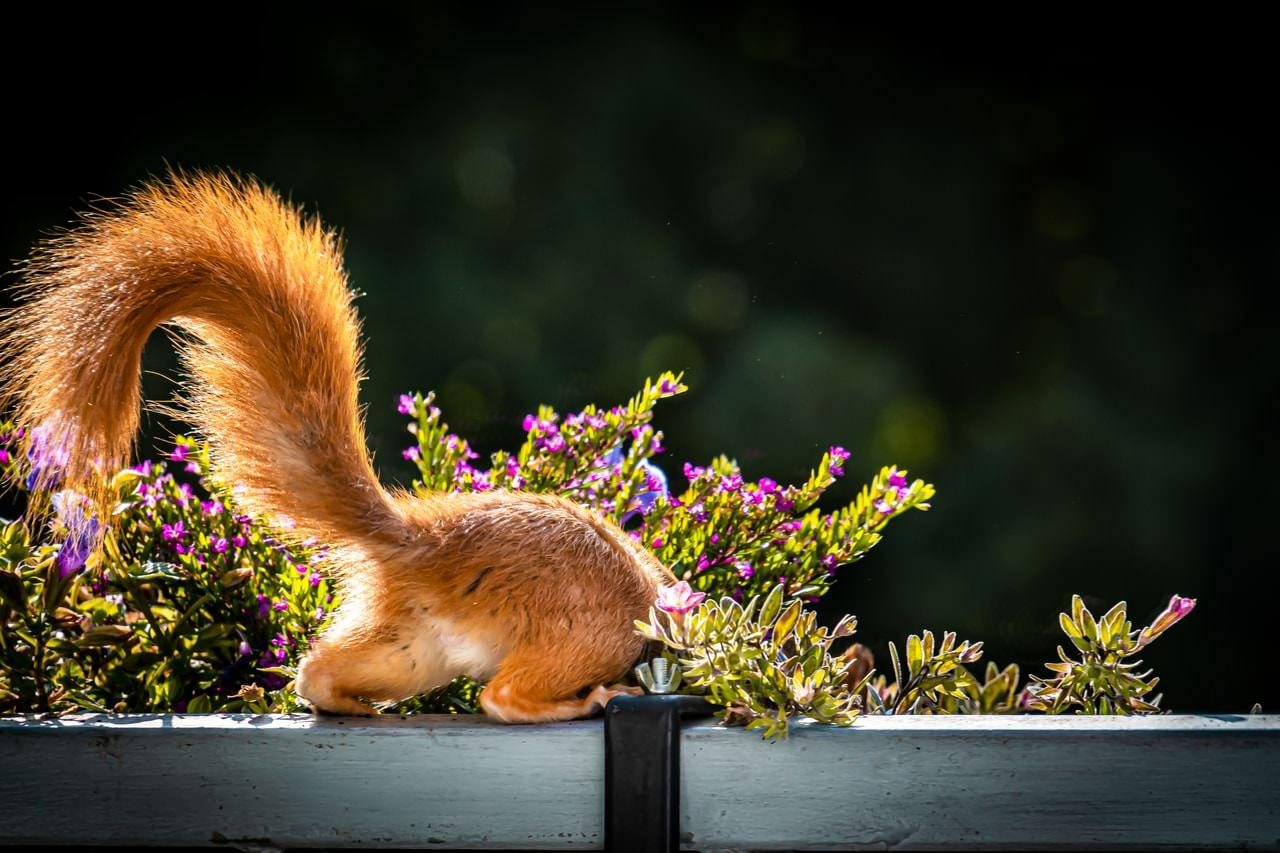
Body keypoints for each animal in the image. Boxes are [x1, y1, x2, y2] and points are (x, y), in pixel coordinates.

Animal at [0, 172, 668, 721]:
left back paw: (346, 701)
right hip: (587, 635)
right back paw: (585, 700)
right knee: (504, 699)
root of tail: (424, 544)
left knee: (320, 672)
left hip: (414, 648)